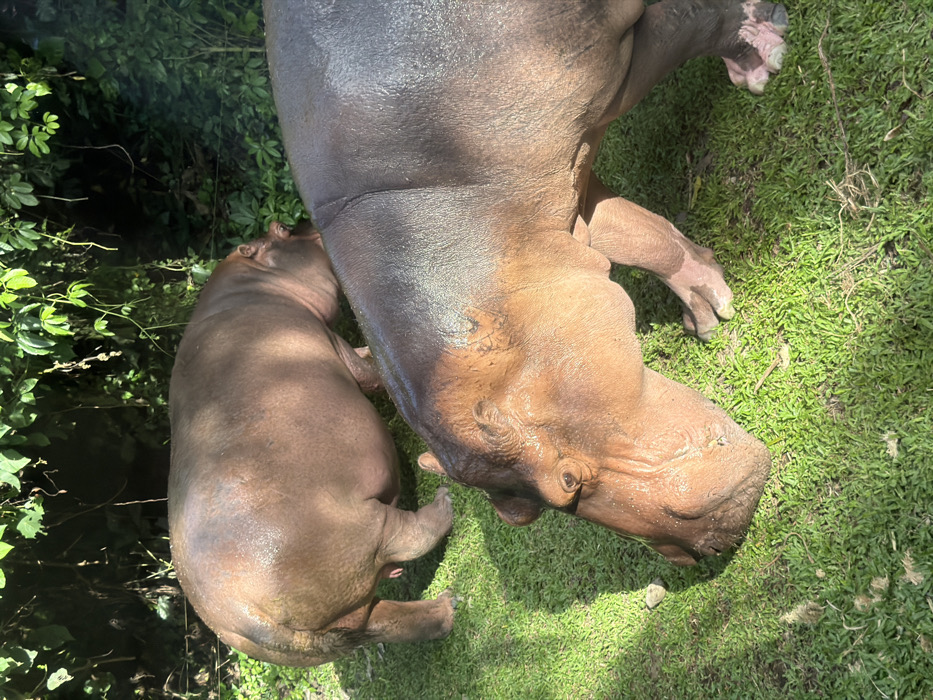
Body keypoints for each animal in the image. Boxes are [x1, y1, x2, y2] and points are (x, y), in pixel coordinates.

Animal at [168, 221, 455, 666]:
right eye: (282, 230)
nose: (305, 221)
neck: (255, 286)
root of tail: (245, 617)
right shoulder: (329, 338)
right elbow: (368, 372)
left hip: (333, 618)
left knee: (383, 620)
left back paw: (446, 608)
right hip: (356, 526)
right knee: (404, 536)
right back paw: (443, 506)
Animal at [263, 0, 787, 565]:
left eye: (566, 480)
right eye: (523, 511)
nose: (696, 553)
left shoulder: (614, 65)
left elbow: (693, 22)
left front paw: (760, 56)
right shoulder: (561, 207)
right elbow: (638, 235)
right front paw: (706, 307)